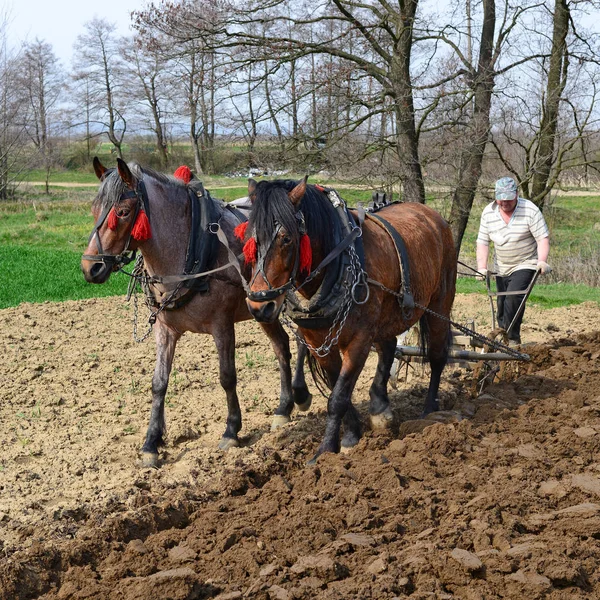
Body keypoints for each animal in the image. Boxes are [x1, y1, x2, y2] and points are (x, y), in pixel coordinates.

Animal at [80, 157, 312, 466]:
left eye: (123, 212)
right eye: (94, 210)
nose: (90, 267)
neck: (190, 249)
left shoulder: (222, 325)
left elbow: (227, 376)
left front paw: (231, 430)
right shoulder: (165, 329)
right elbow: (159, 382)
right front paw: (151, 443)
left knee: (303, 339)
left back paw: (300, 394)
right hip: (264, 307)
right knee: (281, 346)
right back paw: (283, 408)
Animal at [241, 177, 458, 460]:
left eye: (286, 238)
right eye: (250, 240)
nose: (259, 304)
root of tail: (433, 216)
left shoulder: (359, 340)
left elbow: (338, 397)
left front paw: (325, 450)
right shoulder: (319, 343)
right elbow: (337, 389)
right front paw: (352, 434)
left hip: (439, 304)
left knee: (437, 356)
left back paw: (429, 409)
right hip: (387, 316)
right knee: (388, 347)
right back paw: (380, 406)